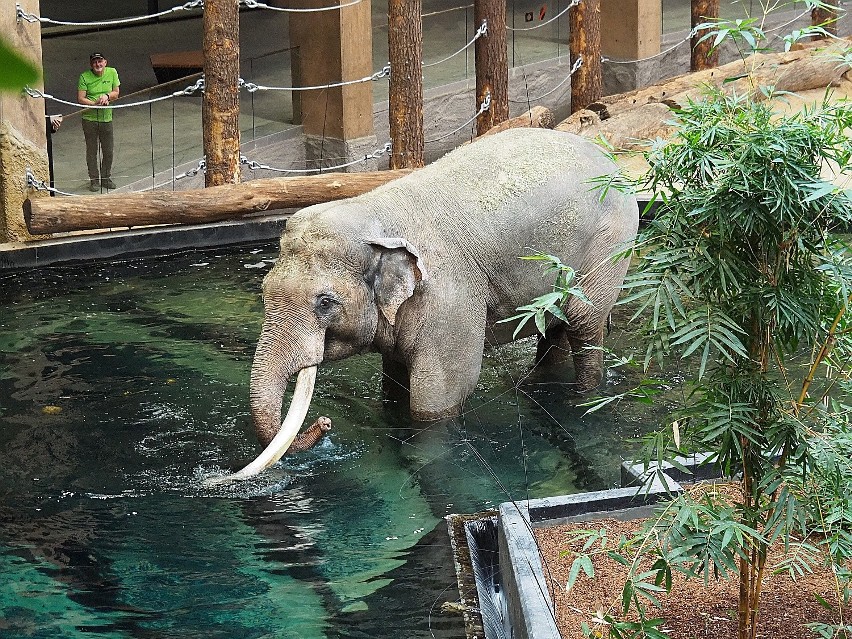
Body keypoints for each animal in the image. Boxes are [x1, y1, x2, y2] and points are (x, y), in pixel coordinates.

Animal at [210, 127, 640, 482]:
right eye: (265, 289)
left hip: (608, 249)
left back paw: (581, 399)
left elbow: (439, 394)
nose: (326, 423)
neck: (374, 212)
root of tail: (610, 158)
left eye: (325, 302)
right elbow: (395, 378)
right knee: (553, 326)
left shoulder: (449, 297)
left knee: (584, 325)